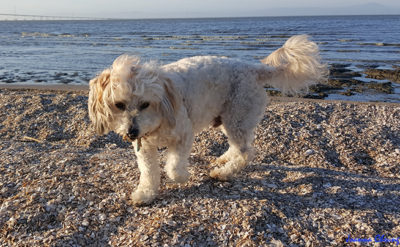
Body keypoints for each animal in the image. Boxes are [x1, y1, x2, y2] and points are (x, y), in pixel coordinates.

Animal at [88, 34, 328, 205]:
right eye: (119, 105)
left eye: (146, 103)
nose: (131, 133)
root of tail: (253, 68)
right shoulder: (144, 147)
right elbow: (148, 172)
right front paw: (146, 194)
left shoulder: (184, 136)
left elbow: (173, 167)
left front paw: (181, 177)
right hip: (231, 119)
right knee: (239, 146)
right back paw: (224, 160)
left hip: (236, 117)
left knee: (247, 152)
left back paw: (223, 173)